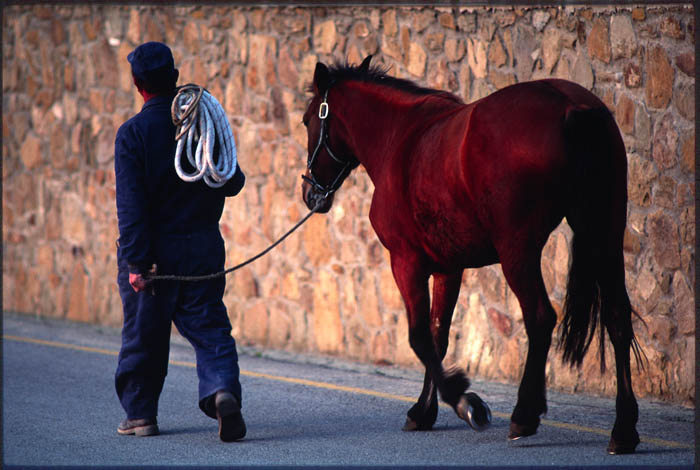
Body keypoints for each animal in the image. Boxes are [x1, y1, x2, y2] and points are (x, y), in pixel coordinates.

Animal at [300, 55, 644, 454]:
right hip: (605, 236)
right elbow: (438, 335)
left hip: (518, 252)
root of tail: (572, 107)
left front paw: (465, 403)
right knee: (618, 319)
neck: (400, 139)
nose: (311, 193)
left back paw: (524, 415)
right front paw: (425, 410)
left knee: (541, 318)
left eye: (308, 119)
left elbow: (419, 336)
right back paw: (623, 429)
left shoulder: (405, 261)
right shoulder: (448, 268)